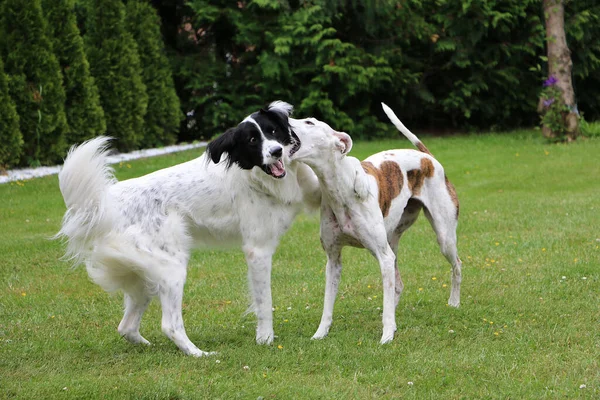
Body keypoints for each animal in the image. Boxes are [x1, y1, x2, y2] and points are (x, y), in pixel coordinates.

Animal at [56, 101, 336, 356]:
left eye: (274, 131)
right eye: (252, 140)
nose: (277, 152)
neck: (257, 177)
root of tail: (108, 205)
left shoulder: (309, 194)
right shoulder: (258, 251)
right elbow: (264, 303)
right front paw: (265, 339)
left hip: (145, 280)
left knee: (126, 327)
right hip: (172, 268)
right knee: (169, 325)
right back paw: (199, 354)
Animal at [292, 103, 462, 344]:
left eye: (309, 122)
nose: (281, 116)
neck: (341, 189)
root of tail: (427, 157)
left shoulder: (384, 256)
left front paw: (387, 335)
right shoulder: (333, 260)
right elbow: (327, 305)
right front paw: (320, 333)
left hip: (443, 238)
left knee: (456, 265)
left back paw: (454, 302)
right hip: (391, 242)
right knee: (398, 285)